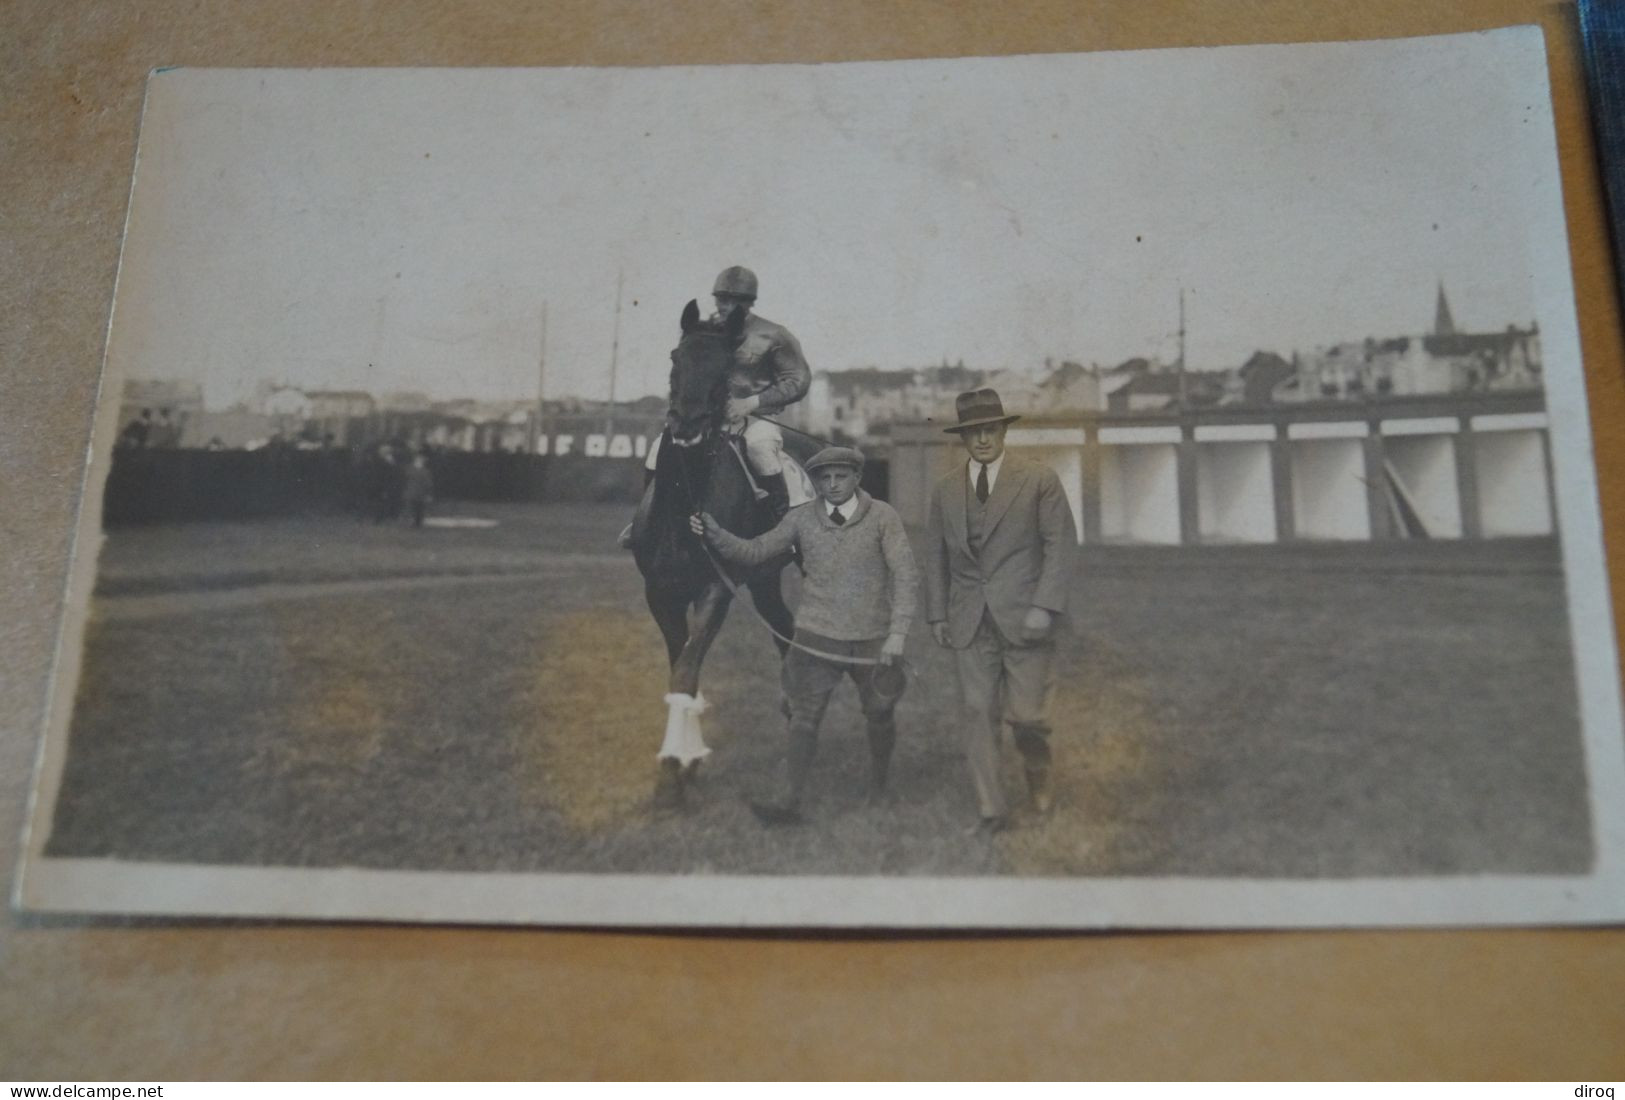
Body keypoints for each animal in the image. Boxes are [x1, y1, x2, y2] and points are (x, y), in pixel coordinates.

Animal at [630, 300, 796, 805]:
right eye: (674, 358)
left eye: (724, 368)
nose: (687, 427)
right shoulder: (660, 593)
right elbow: (680, 667)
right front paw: (685, 762)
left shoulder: (714, 591)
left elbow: (685, 673)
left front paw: (674, 769)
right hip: (764, 579)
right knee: (785, 629)